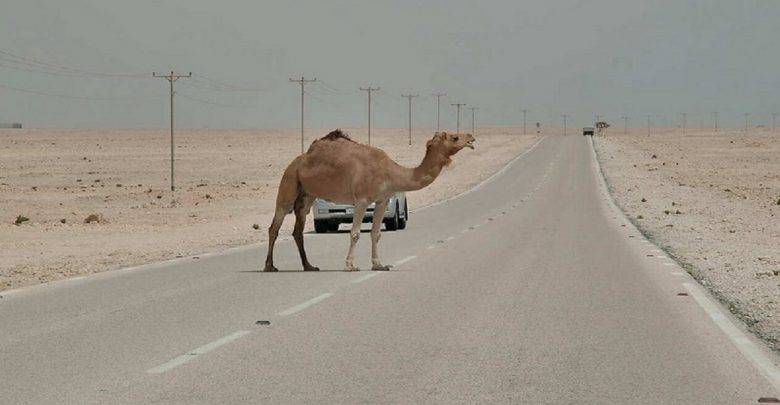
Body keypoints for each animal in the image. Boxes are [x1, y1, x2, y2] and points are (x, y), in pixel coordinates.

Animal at [264, 129, 475, 272]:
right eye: (455, 137)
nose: (471, 138)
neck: (390, 173)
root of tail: (298, 160)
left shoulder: (382, 201)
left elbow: (376, 234)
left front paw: (378, 265)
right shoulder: (362, 200)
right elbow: (355, 233)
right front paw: (350, 265)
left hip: (307, 195)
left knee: (297, 229)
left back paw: (309, 266)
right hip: (289, 181)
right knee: (275, 224)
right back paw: (269, 266)